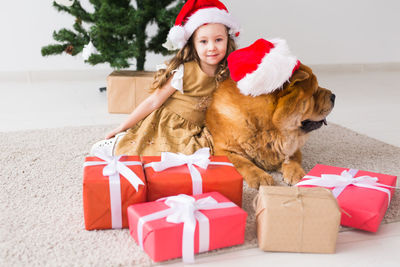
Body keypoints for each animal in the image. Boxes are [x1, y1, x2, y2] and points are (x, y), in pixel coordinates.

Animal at [206, 62, 334, 188]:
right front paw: (260, 177)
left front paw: (297, 174)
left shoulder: (292, 147)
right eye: (314, 93)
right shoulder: (224, 150)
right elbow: (244, 163)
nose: (334, 96)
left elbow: (292, 159)